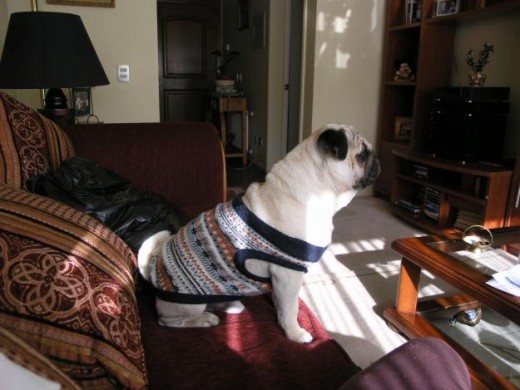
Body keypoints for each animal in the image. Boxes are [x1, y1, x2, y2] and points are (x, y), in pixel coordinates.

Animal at [138, 123, 380, 342]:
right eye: (362, 155)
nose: (377, 159)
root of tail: (153, 266)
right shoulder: (288, 274)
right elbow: (290, 309)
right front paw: (294, 333)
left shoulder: (282, 279)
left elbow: (282, 302)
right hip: (187, 306)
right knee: (169, 321)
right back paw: (205, 319)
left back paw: (229, 304)